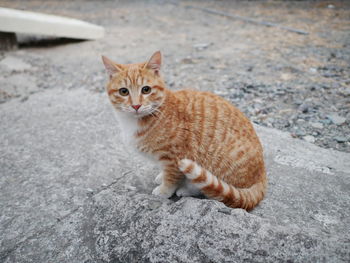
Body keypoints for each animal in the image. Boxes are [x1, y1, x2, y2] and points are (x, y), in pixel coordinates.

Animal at [102, 51, 266, 211]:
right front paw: (161, 176)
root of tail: (262, 174)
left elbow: (171, 177)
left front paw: (164, 191)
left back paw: (187, 189)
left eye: (146, 89)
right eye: (124, 91)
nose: (136, 105)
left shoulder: (174, 156)